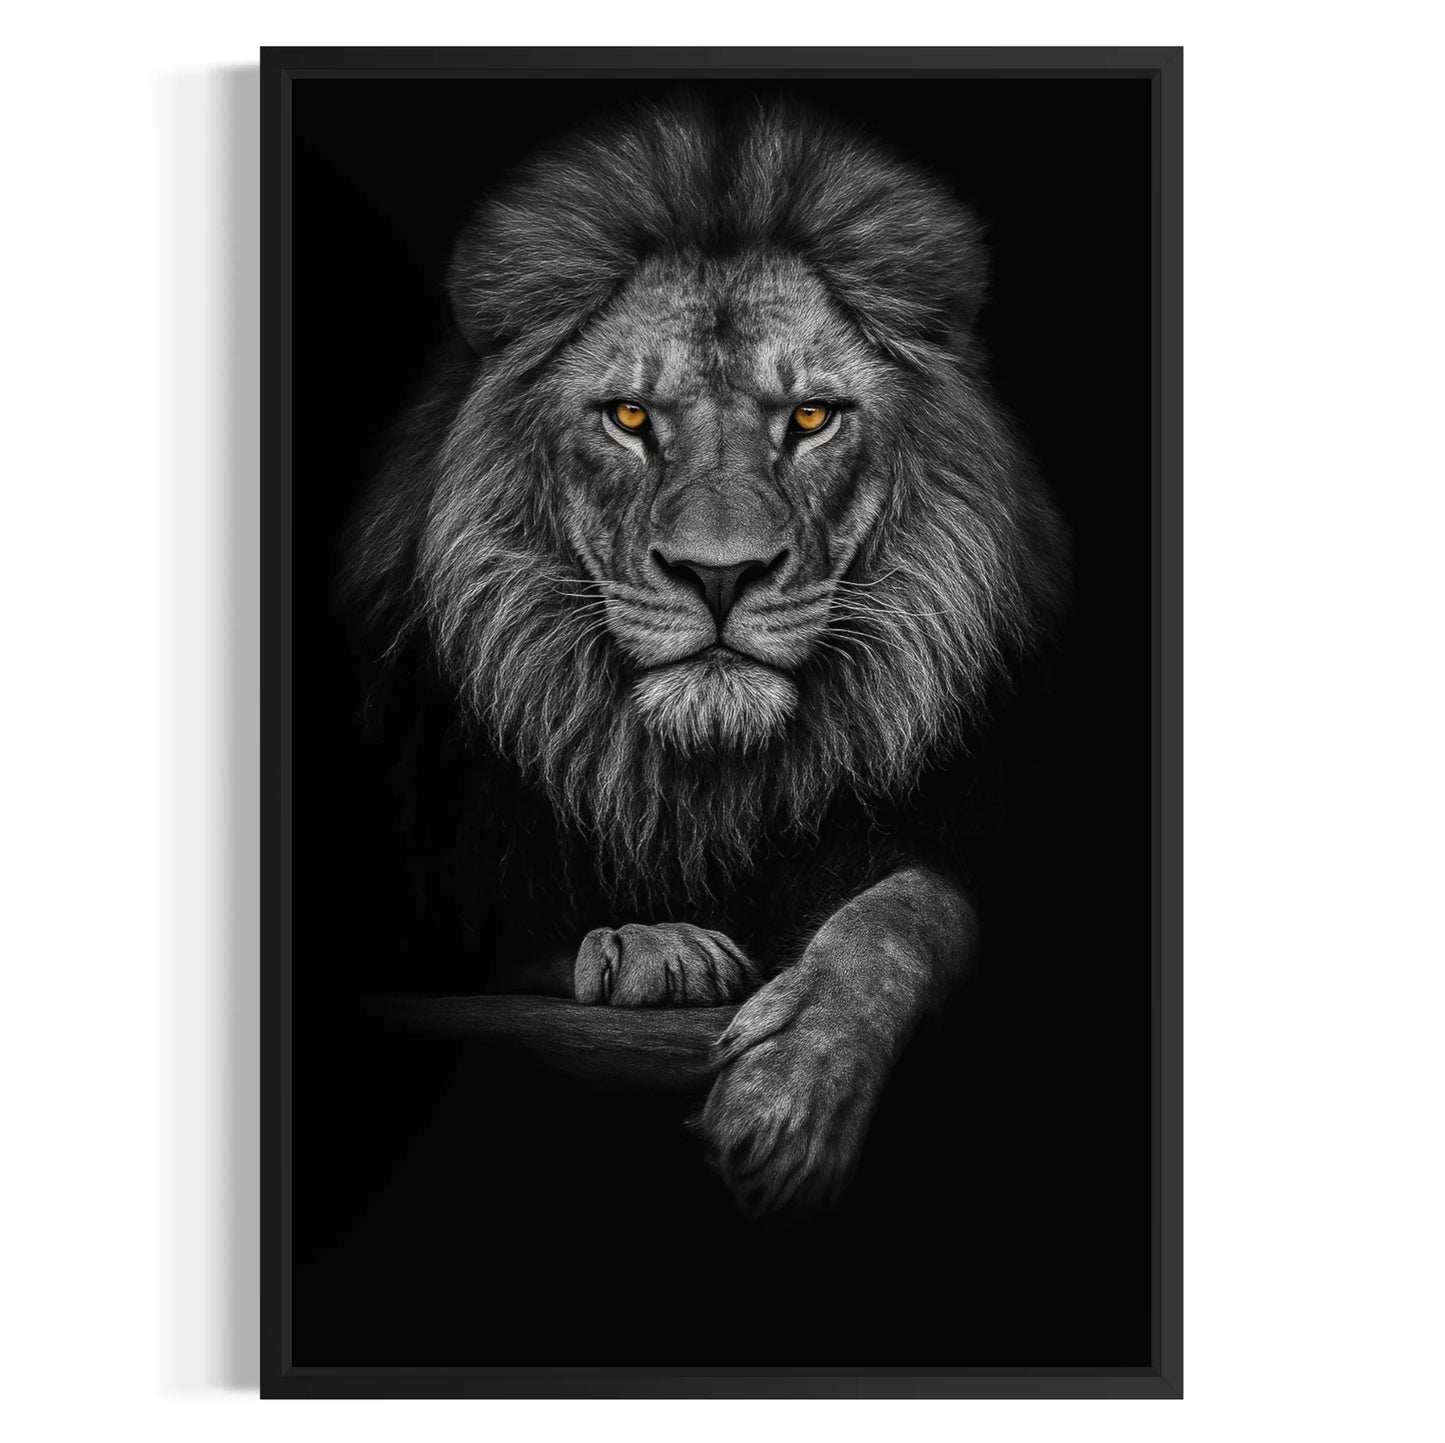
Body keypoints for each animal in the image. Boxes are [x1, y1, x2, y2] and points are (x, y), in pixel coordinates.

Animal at [342, 95, 1070, 1220]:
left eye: (809, 417)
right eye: (628, 417)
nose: (717, 573)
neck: (703, 787)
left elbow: (906, 909)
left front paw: (788, 1095)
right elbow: (506, 938)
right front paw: (655, 944)